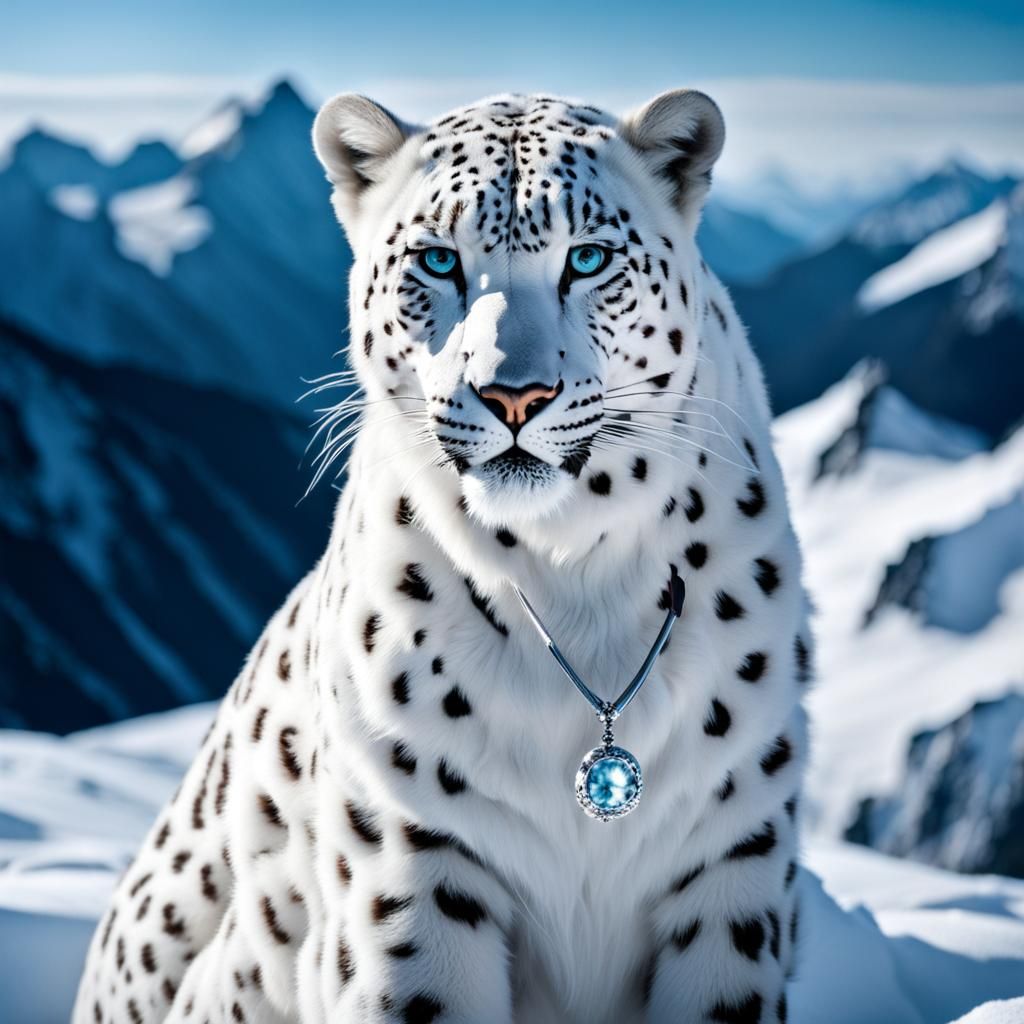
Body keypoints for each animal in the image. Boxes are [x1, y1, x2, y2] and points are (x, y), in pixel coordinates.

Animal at [74, 87, 812, 1024]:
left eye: (588, 257)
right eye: (436, 260)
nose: (514, 395)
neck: (577, 579)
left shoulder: (731, 868)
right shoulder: (410, 870)